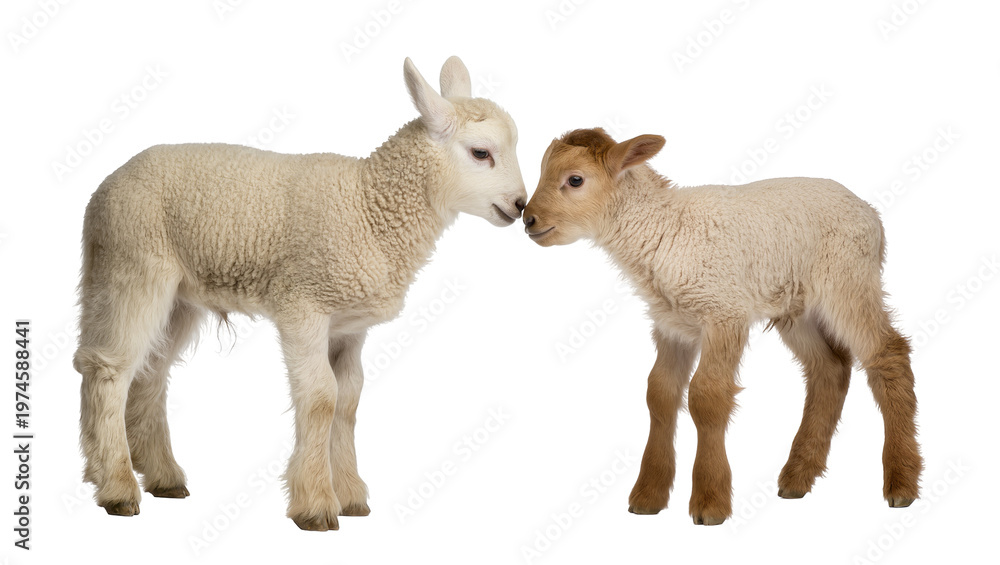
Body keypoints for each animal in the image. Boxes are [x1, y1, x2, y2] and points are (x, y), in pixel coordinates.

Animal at [72, 56, 527, 531]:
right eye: (481, 153)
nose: (521, 206)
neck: (368, 205)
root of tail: (103, 189)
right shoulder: (304, 303)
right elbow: (322, 398)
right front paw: (316, 504)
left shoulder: (349, 324)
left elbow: (348, 400)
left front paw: (351, 496)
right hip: (130, 264)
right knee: (108, 370)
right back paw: (117, 486)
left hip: (177, 294)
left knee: (151, 373)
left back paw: (162, 477)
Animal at [522, 127, 922, 525]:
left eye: (575, 180)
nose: (528, 219)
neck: (666, 231)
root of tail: (870, 214)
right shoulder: (672, 325)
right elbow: (659, 394)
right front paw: (648, 496)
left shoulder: (724, 312)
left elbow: (707, 396)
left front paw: (710, 501)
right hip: (796, 305)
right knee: (830, 368)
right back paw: (797, 477)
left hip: (848, 278)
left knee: (887, 354)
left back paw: (901, 482)